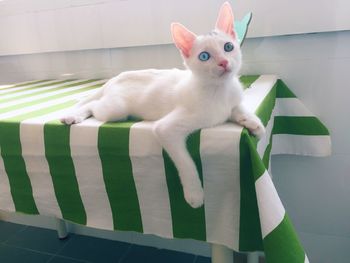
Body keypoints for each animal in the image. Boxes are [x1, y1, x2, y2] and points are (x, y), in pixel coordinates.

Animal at [60, 1, 264, 208]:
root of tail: (116, 77)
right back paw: (74, 115)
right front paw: (194, 193)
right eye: (204, 56)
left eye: (228, 47)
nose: (223, 62)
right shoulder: (166, 129)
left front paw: (253, 123)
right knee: (93, 104)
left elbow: (237, 108)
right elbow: (186, 162)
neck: (219, 90)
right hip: (115, 109)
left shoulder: (232, 100)